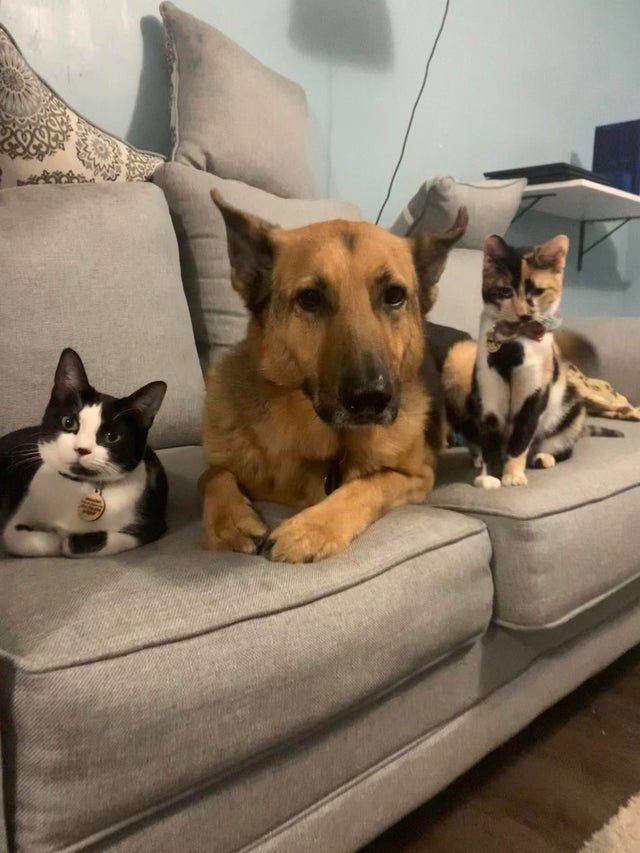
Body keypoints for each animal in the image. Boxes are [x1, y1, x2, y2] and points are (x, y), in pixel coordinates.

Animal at [0, 348, 168, 557]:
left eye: (112, 436)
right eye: (68, 422)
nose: (81, 449)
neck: (81, 486)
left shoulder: (151, 524)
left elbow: (79, 542)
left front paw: (66, 538)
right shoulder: (16, 522)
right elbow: (26, 539)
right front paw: (55, 535)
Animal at [200, 192, 468, 563]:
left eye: (394, 295)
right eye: (310, 298)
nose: (371, 397)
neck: (327, 448)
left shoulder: (416, 475)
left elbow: (367, 484)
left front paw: (312, 528)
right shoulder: (225, 463)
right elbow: (213, 475)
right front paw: (229, 523)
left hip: (461, 360)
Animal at [426, 233, 621, 489]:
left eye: (538, 291)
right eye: (505, 291)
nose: (523, 314)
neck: (513, 343)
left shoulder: (534, 394)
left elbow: (521, 437)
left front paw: (513, 475)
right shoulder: (489, 392)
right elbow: (490, 437)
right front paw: (490, 476)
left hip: (572, 409)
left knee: (561, 446)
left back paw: (543, 457)